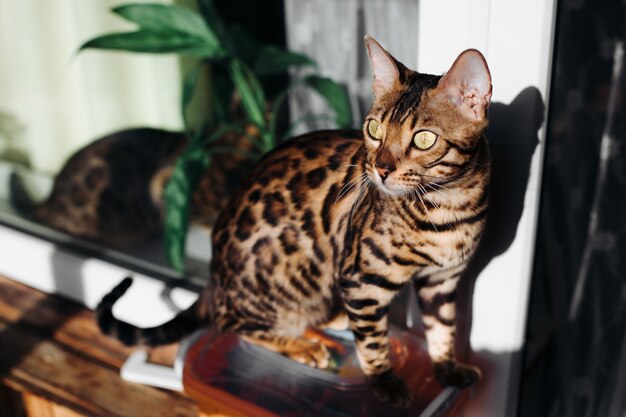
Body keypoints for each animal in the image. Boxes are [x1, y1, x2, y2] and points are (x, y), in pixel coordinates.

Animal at [97, 36, 490, 406]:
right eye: (374, 129)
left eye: (423, 139)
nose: (380, 169)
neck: (447, 208)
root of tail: (213, 281)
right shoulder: (361, 279)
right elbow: (373, 342)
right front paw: (384, 382)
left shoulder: (442, 280)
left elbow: (442, 329)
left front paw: (447, 368)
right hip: (292, 269)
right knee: (233, 324)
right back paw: (302, 345)